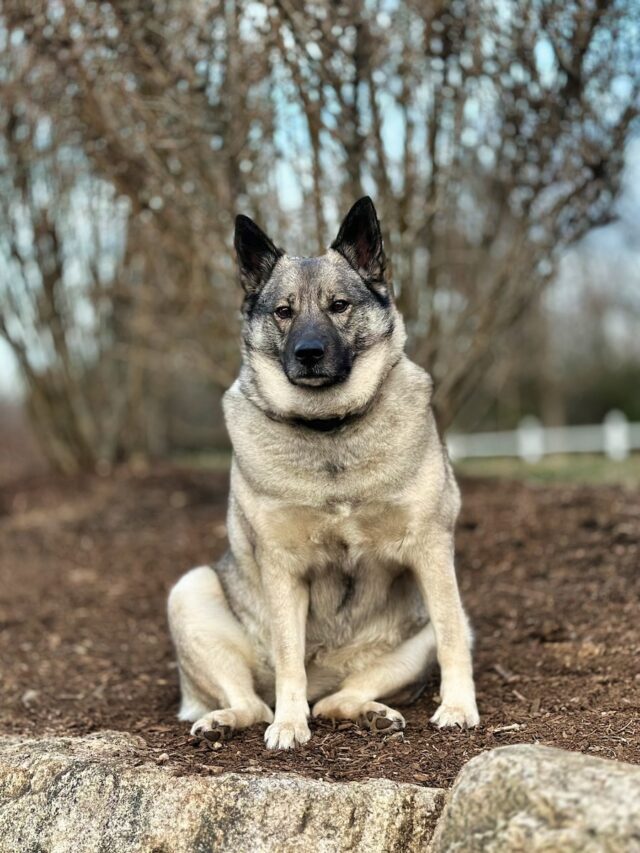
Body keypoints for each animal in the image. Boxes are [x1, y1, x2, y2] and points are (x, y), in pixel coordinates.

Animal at [168, 198, 478, 744]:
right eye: (283, 311)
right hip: (190, 592)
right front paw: (291, 726)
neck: (329, 429)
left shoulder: (431, 549)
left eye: (339, 306)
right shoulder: (282, 566)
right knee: (255, 703)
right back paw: (228, 720)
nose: (308, 353)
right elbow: (290, 657)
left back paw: (370, 712)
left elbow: (450, 639)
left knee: (341, 697)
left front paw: (458, 706)